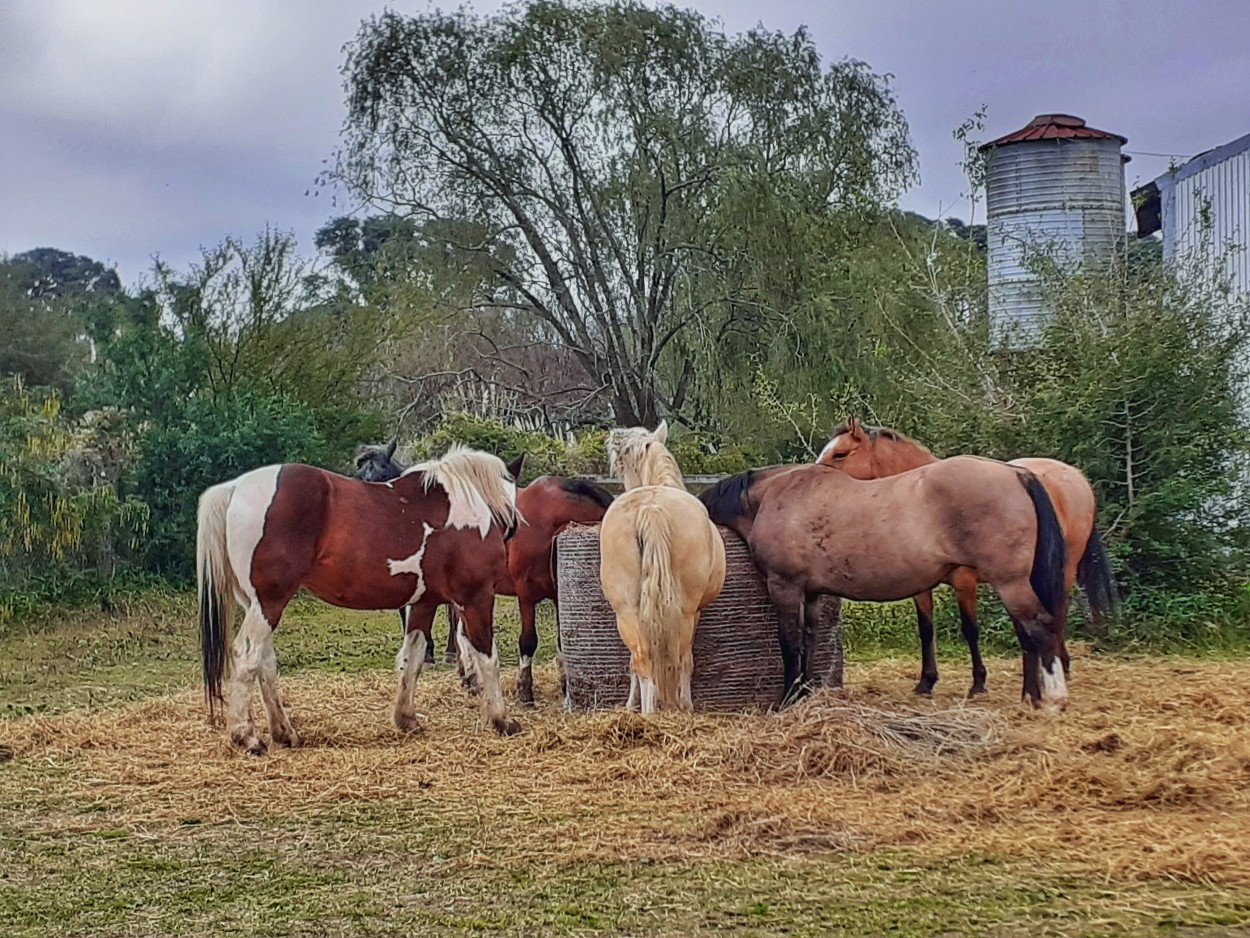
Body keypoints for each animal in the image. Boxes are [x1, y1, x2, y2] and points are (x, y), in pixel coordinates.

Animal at [193, 445, 522, 755]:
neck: (469, 505)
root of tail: (235, 488)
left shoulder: (423, 603)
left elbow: (413, 657)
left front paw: (406, 719)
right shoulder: (475, 597)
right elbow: (488, 657)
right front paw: (502, 720)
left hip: (258, 604)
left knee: (265, 662)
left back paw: (285, 732)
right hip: (269, 602)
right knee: (248, 655)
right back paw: (247, 737)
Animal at [352, 442, 615, 705]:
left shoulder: (559, 593)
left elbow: (562, 639)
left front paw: (564, 684)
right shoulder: (526, 593)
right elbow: (528, 640)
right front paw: (525, 689)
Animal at [600, 425, 730, 710]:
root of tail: (651, 508)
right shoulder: (696, 612)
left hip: (626, 612)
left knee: (642, 659)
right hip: (685, 612)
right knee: (676, 659)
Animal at [700, 457, 1070, 710]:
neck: (776, 496)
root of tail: (1016, 473)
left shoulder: (786, 588)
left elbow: (790, 646)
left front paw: (787, 698)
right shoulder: (813, 594)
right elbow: (809, 642)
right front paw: (805, 693)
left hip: (1011, 583)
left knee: (1041, 628)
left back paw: (1054, 697)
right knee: (1029, 635)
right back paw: (1031, 696)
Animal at [815, 417, 1120, 700]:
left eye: (840, 453)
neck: (924, 502)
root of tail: (1074, 475)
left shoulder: (965, 583)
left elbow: (970, 629)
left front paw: (978, 683)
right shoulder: (921, 589)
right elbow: (926, 630)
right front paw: (926, 682)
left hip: (1063, 570)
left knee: (1058, 610)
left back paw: (1060, 667)